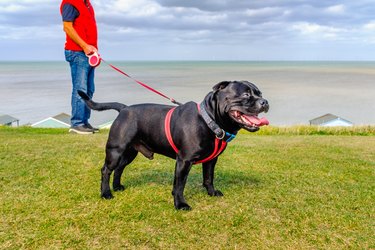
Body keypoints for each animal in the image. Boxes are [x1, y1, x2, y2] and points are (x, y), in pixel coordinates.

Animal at [78, 81, 268, 210]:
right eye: (246, 95)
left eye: (259, 93)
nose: (265, 101)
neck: (209, 120)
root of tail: (124, 108)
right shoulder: (184, 161)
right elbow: (179, 184)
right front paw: (180, 204)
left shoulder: (211, 160)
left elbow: (208, 178)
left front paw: (211, 193)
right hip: (116, 151)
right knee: (106, 170)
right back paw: (106, 193)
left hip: (129, 153)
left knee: (119, 168)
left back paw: (117, 187)